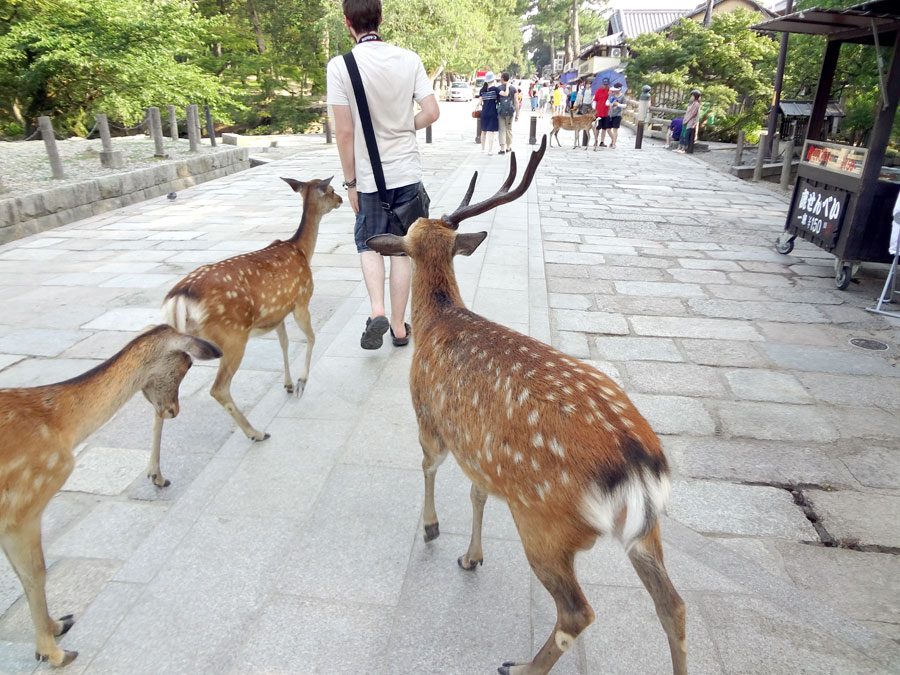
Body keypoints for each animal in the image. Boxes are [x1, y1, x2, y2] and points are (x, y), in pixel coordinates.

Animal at [0, 326, 221, 664]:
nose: (174, 410)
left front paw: (58, 626)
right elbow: (35, 572)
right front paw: (54, 652)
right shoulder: (24, 507)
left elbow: (23, 573)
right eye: (187, 365)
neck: (62, 425)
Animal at [151, 177, 342, 488]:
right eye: (331, 190)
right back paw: (256, 432)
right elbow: (311, 338)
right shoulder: (301, 300)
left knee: (161, 399)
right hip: (231, 338)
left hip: (180, 346)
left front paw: (288, 384)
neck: (302, 251)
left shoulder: (276, 314)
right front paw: (301, 382)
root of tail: (178, 299)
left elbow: (284, 343)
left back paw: (156, 474)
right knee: (219, 388)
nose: (341, 200)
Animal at [370, 137, 684, 675]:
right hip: (647, 528)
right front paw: (471, 556)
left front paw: (432, 529)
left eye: (406, 237)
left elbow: (428, 467)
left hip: (543, 524)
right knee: (674, 606)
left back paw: (517, 666)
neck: (438, 320)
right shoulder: (479, 452)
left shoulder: (427, 415)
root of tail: (639, 467)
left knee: (577, 613)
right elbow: (476, 494)